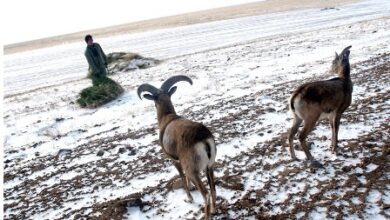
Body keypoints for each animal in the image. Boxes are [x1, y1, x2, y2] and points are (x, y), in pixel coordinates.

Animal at [137, 75, 216, 218]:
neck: (167, 118)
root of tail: (203, 139)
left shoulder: (174, 161)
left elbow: (182, 177)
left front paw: (189, 198)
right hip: (210, 167)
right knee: (213, 189)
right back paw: (214, 210)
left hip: (194, 172)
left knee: (206, 194)